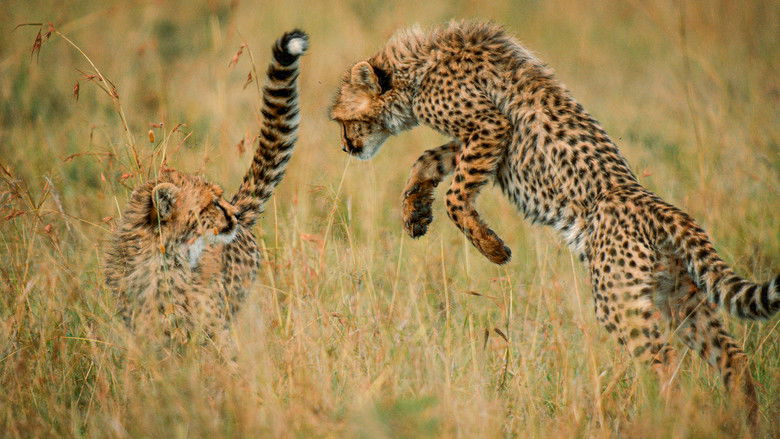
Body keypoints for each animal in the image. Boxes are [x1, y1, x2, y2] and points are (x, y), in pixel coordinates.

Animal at [330, 21, 778, 424]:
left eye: (341, 119)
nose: (346, 148)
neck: (417, 65)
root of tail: (659, 207)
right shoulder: (474, 137)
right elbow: (428, 158)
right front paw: (415, 213)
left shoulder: (490, 127)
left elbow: (457, 194)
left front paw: (492, 248)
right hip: (677, 295)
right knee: (732, 356)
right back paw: (746, 422)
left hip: (619, 300)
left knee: (665, 363)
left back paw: (668, 420)